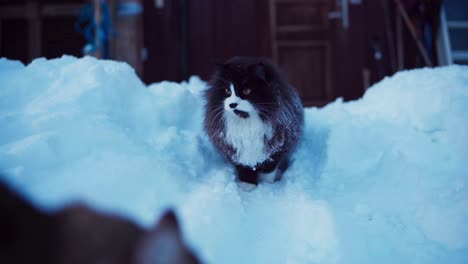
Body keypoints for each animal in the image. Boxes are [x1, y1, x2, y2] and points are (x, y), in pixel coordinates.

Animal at [204, 56, 306, 189]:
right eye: (227, 91)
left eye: (247, 91)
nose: (232, 104)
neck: (246, 123)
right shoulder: (236, 150)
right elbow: (244, 168)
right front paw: (247, 185)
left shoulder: (276, 149)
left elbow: (269, 171)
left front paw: (267, 185)